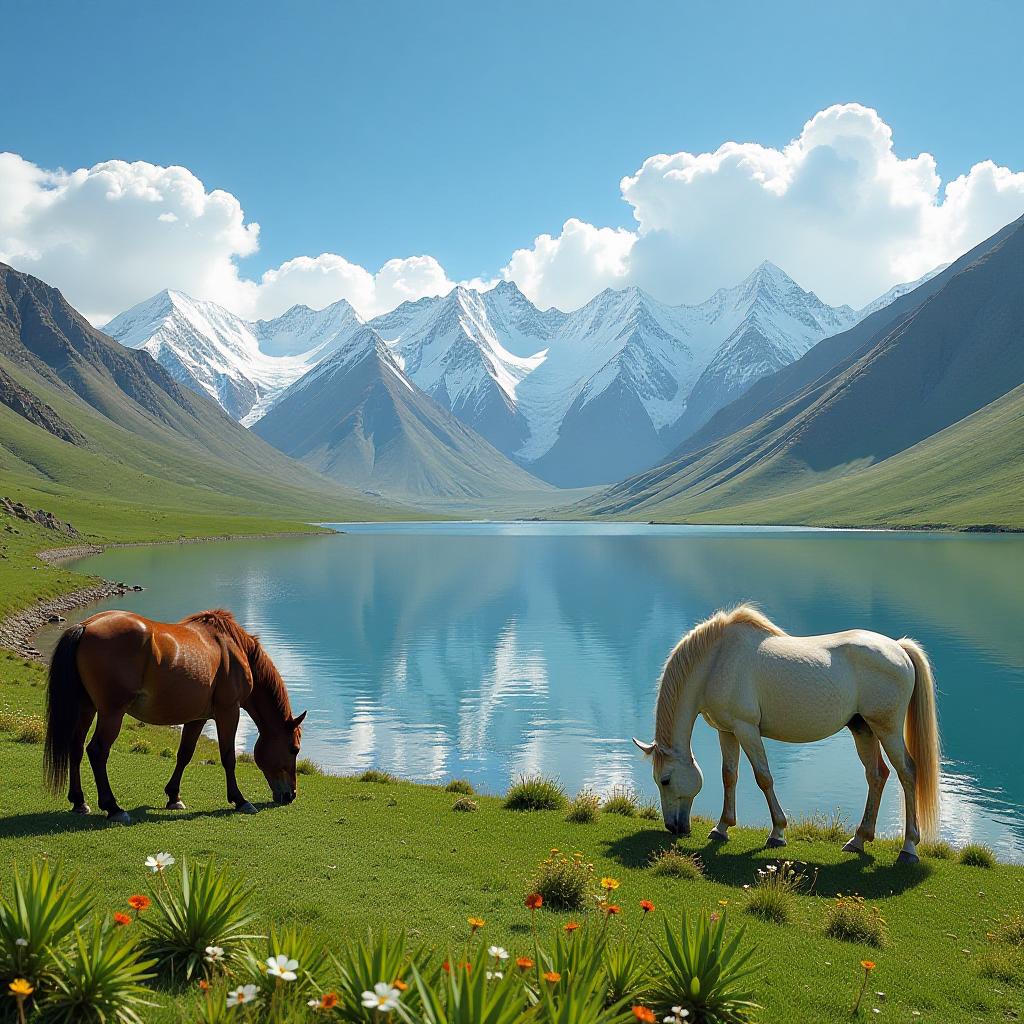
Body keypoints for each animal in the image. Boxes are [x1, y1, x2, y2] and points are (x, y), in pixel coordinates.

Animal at [44, 606, 305, 823]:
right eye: (294, 749)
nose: (291, 795)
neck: (234, 650)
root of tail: (86, 625)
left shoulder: (197, 718)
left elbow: (184, 754)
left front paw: (173, 797)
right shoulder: (228, 712)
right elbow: (228, 757)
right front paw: (240, 800)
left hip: (86, 708)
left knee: (76, 748)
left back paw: (80, 801)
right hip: (111, 713)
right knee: (97, 751)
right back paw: (113, 807)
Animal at [634, 606, 937, 864]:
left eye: (665, 780)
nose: (674, 827)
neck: (717, 660)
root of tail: (898, 648)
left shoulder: (746, 729)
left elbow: (764, 778)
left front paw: (777, 833)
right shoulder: (727, 730)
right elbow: (729, 776)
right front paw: (721, 828)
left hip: (887, 729)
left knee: (907, 773)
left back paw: (909, 848)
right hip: (862, 728)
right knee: (876, 775)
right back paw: (858, 840)